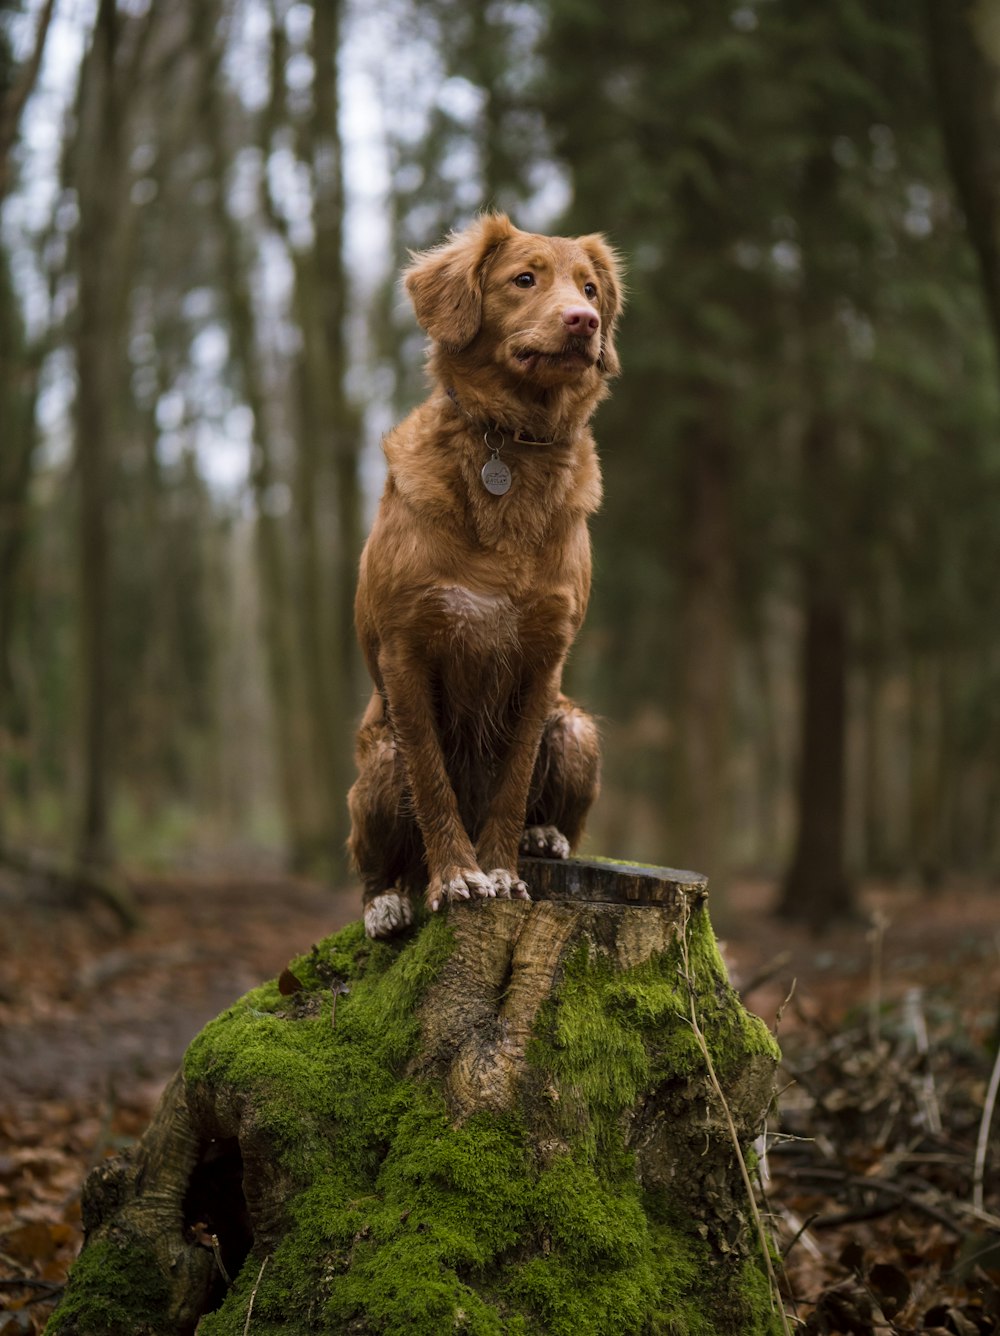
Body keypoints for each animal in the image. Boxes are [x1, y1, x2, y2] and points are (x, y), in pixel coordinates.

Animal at [347, 211, 619, 940]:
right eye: (524, 279)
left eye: (589, 287)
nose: (584, 320)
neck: (513, 448)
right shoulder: (407, 650)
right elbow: (433, 781)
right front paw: (458, 876)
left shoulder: (544, 657)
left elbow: (513, 779)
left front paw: (499, 869)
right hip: (377, 763)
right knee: (372, 858)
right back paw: (387, 901)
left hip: (576, 728)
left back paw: (543, 837)